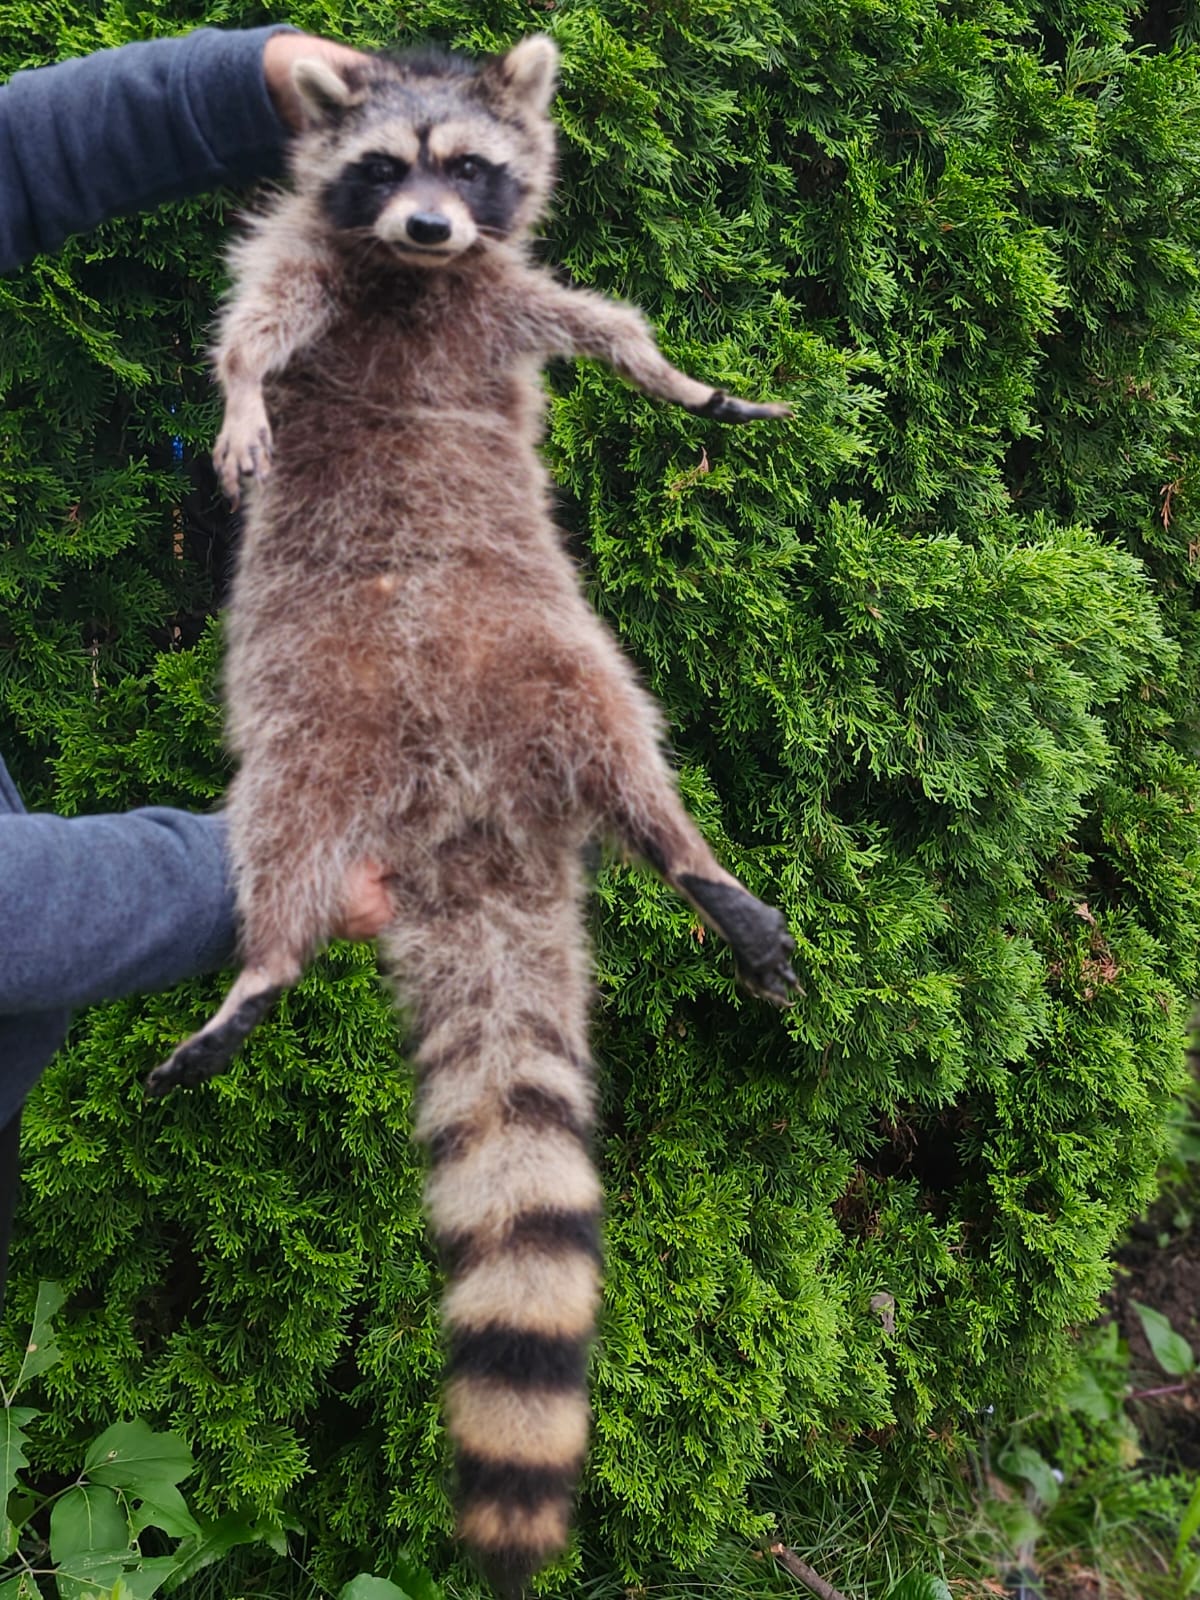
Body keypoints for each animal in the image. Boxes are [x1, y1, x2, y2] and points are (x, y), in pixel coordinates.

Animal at [146, 36, 797, 1594]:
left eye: (474, 169)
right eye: (391, 167)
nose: (435, 227)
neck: (418, 280)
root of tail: (468, 818)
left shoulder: (507, 292)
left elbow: (605, 327)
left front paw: (685, 384)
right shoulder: (317, 253)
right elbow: (257, 318)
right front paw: (242, 395)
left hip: (561, 662)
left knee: (634, 754)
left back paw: (691, 858)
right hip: (312, 729)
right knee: (283, 831)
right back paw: (266, 962)